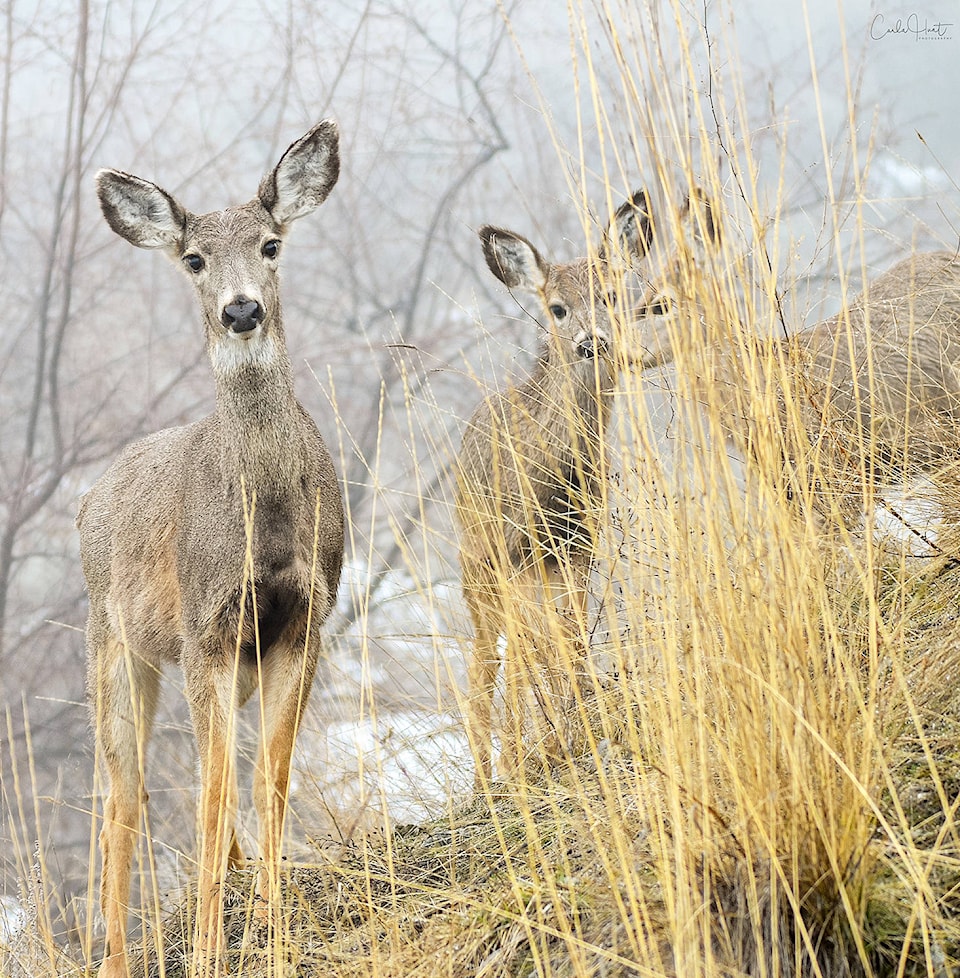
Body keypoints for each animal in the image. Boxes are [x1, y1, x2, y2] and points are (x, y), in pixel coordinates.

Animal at [79, 118, 344, 972]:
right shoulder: (206, 628)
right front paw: (204, 952)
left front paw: (273, 926)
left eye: (271, 244)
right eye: (194, 259)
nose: (241, 310)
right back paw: (116, 956)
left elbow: (269, 778)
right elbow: (214, 787)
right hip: (114, 643)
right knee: (123, 798)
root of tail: (91, 498)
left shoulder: (303, 621)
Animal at [456, 191, 652, 784]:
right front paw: (544, 747)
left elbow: (569, 636)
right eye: (558, 309)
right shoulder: (518, 548)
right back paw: (489, 776)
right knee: (489, 658)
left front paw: (574, 733)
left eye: (610, 296)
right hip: (477, 563)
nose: (593, 343)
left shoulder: (579, 543)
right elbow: (539, 648)